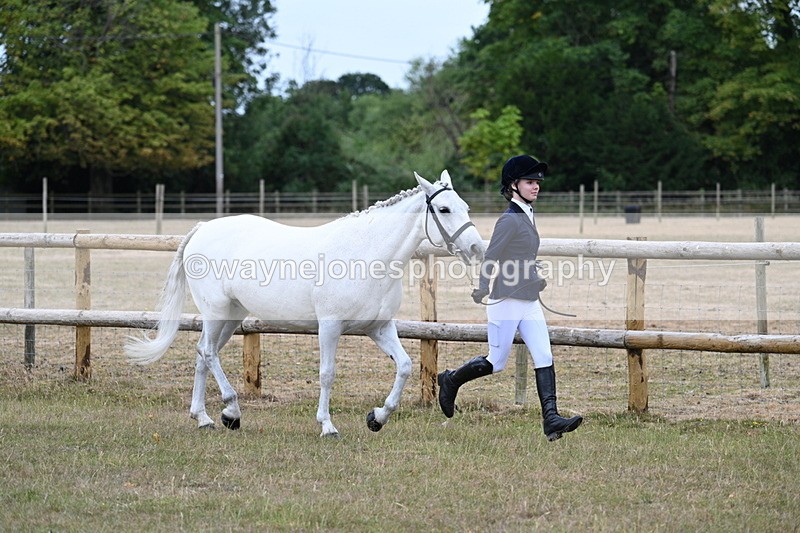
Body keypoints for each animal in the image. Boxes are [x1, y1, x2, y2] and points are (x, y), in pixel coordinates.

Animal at [125, 170, 485, 437]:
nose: (476, 248)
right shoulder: (330, 326)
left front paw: (377, 418)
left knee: (202, 354)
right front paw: (327, 426)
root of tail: (202, 228)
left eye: (465, 206)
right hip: (215, 312)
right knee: (209, 353)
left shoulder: (379, 328)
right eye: (444, 209)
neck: (367, 256)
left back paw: (205, 418)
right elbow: (327, 374)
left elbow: (406, 366)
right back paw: (232, 411)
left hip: (230, 316)